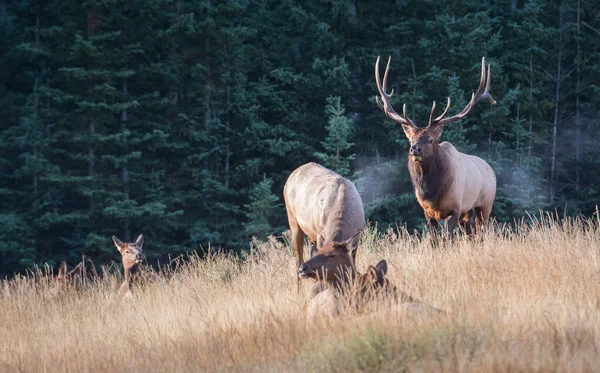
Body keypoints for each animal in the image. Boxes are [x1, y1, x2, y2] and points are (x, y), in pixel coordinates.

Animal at [376, 56, 496, 235]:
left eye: (430, 139)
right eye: (410, 139)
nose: (415, 149)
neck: (432, 194)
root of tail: (492, 170)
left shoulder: (455, 208)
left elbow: (446, 237)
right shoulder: (427, 212)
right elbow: (434, 238)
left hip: (485, 204)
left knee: (482, 231)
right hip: (468, 213)